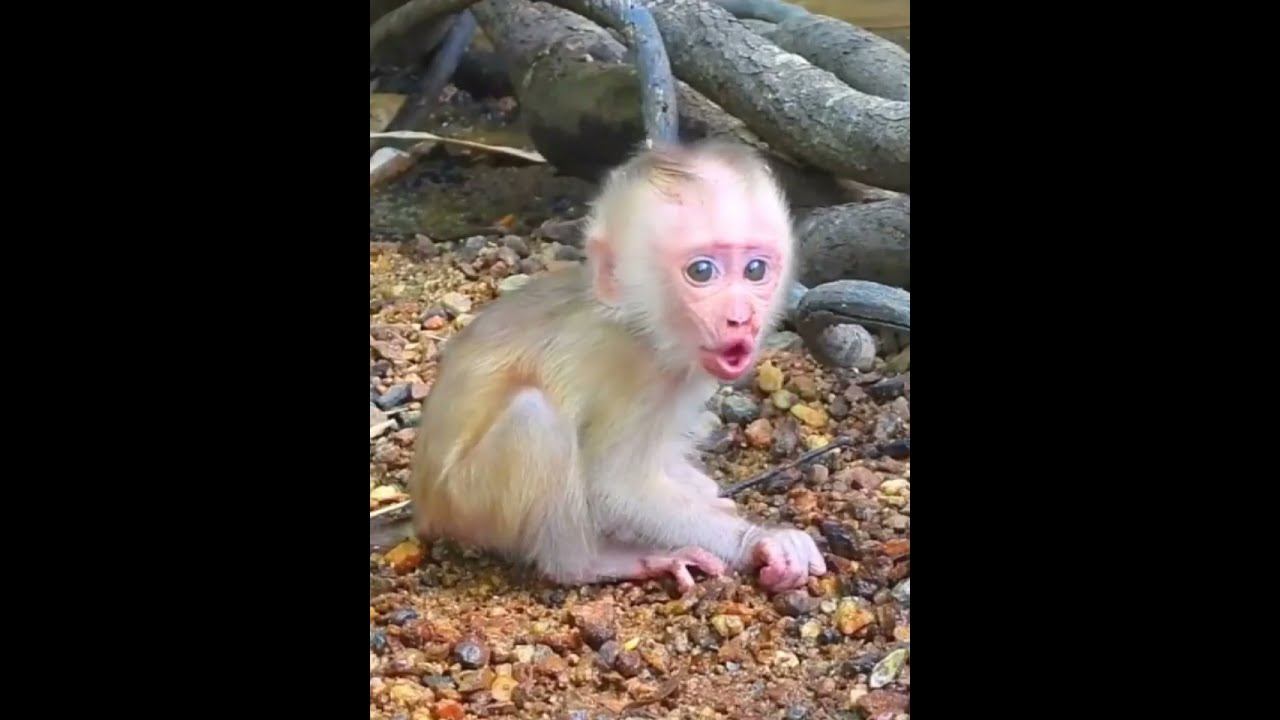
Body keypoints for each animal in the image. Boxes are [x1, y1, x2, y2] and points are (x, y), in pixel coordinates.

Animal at [408, 138, 827, 593]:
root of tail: (427, 505)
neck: (639, 323)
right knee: (534, 417)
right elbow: (618, 487)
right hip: (468, 499)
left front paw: (699, 487)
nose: (740, 317)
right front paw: (759, 542)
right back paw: (587, 564)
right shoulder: (636, 373)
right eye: (702, 271)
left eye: (755, 270)